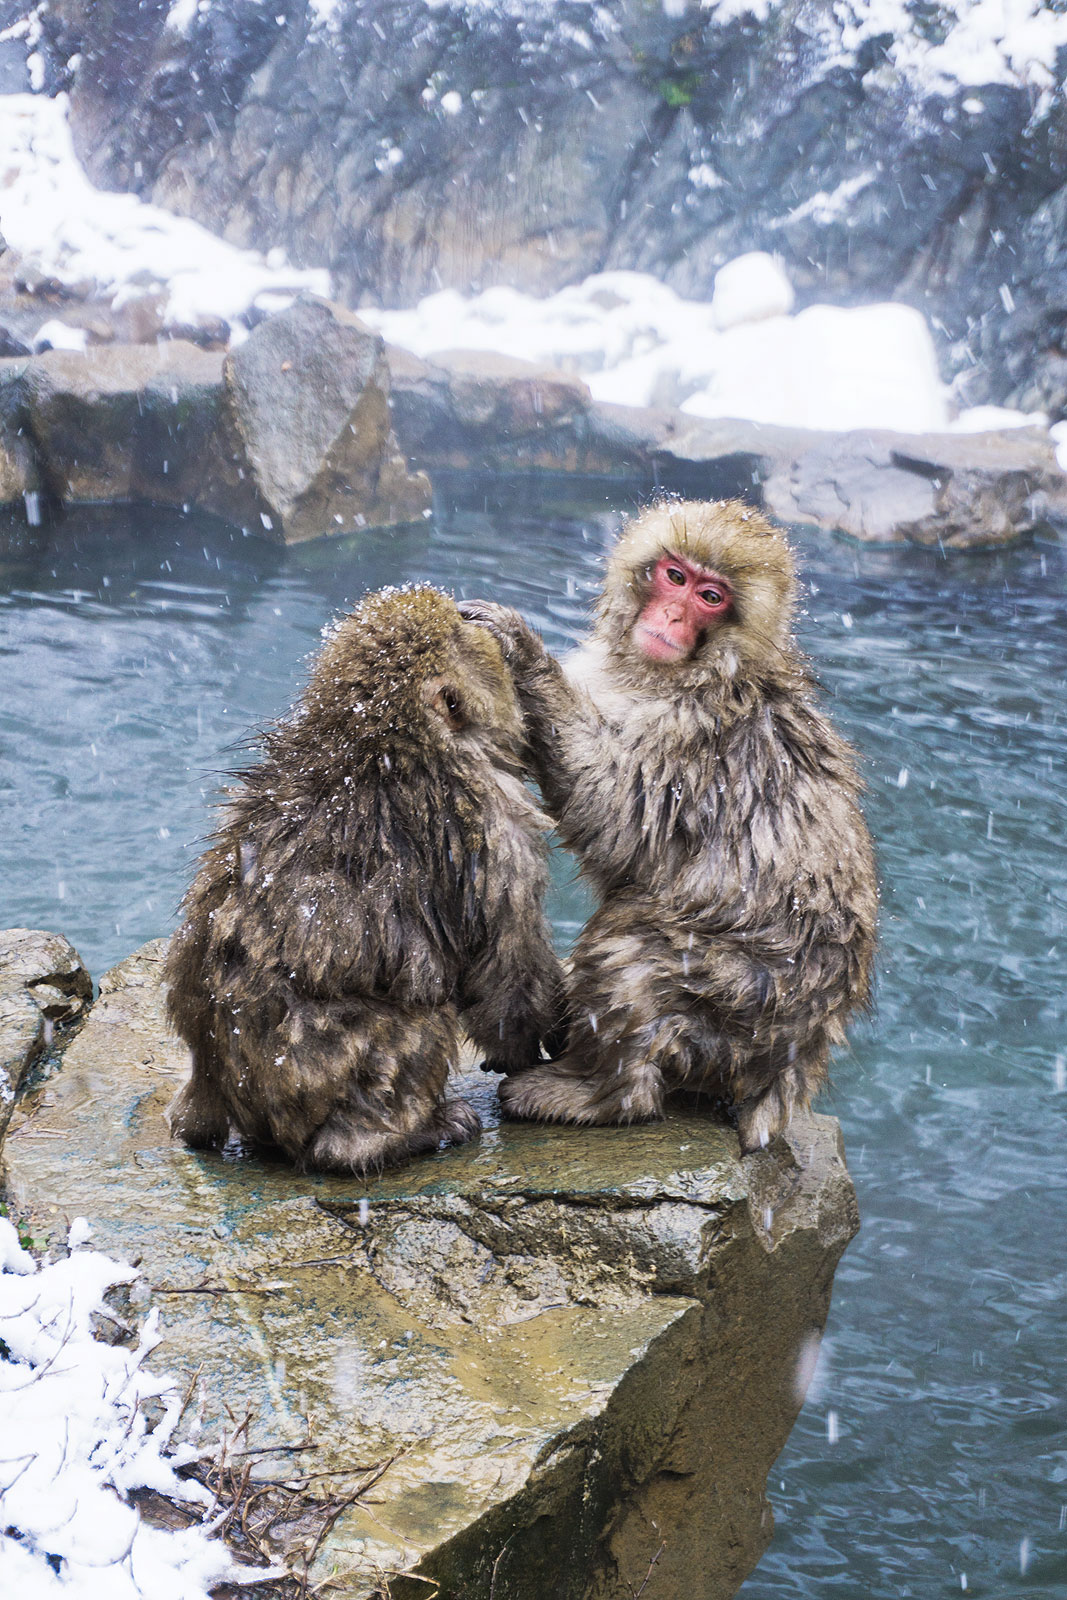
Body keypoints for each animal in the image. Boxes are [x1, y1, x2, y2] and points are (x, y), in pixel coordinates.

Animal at [164, 582, 566, 1171]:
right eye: (458, 630)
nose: (467, 615)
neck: (379, 738)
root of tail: (215, 1084)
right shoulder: (493, 831)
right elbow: (505, 966)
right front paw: (529, 1047)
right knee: (421, 1025)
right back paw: (395, 1138)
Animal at [463, 496, 883, 1152]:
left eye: (711, 597)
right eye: (674, 576)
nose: (671, 615)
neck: (693, 670)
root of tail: (793, 1064)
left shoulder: (692, 732)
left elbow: (615, 810)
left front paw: (521, 650)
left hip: (738, 999)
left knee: (633, 944)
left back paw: (600, 1095)